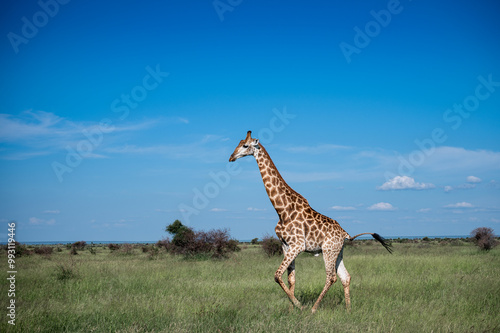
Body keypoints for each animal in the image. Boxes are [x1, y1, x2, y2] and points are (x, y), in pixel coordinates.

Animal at [229, 130, 392, 312]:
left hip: (328, 250)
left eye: (245, 145)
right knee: (345, 276)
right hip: (338, 251)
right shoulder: (285, 245)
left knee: (331, 277)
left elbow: (277, 275)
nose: (231, 157)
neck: (281, 210)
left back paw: (314, 309)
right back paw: (348, 310)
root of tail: (346, 234)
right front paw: (291, 309)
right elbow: (290, 278)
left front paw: (299, 306)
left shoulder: (298, 245)